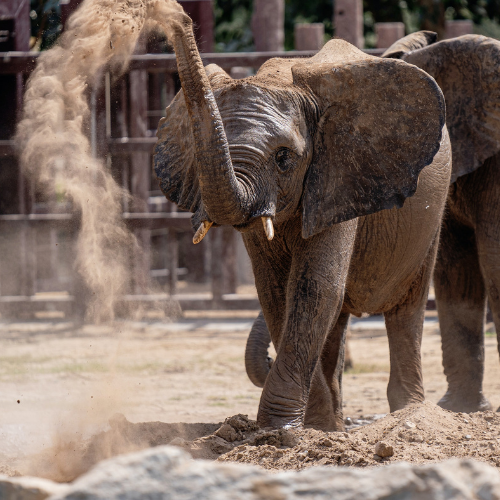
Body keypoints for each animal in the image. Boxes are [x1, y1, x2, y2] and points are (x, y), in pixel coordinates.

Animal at [154, 12, 452, 430]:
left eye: (284, 158)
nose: (178, 17)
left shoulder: (338, 175)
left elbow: (314, 287)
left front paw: (281, 431)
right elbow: (275, 291)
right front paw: (312, 429)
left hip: (430, 216)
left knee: (405, 308)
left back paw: (408, 412)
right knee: (338, 320)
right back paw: (336, 424)